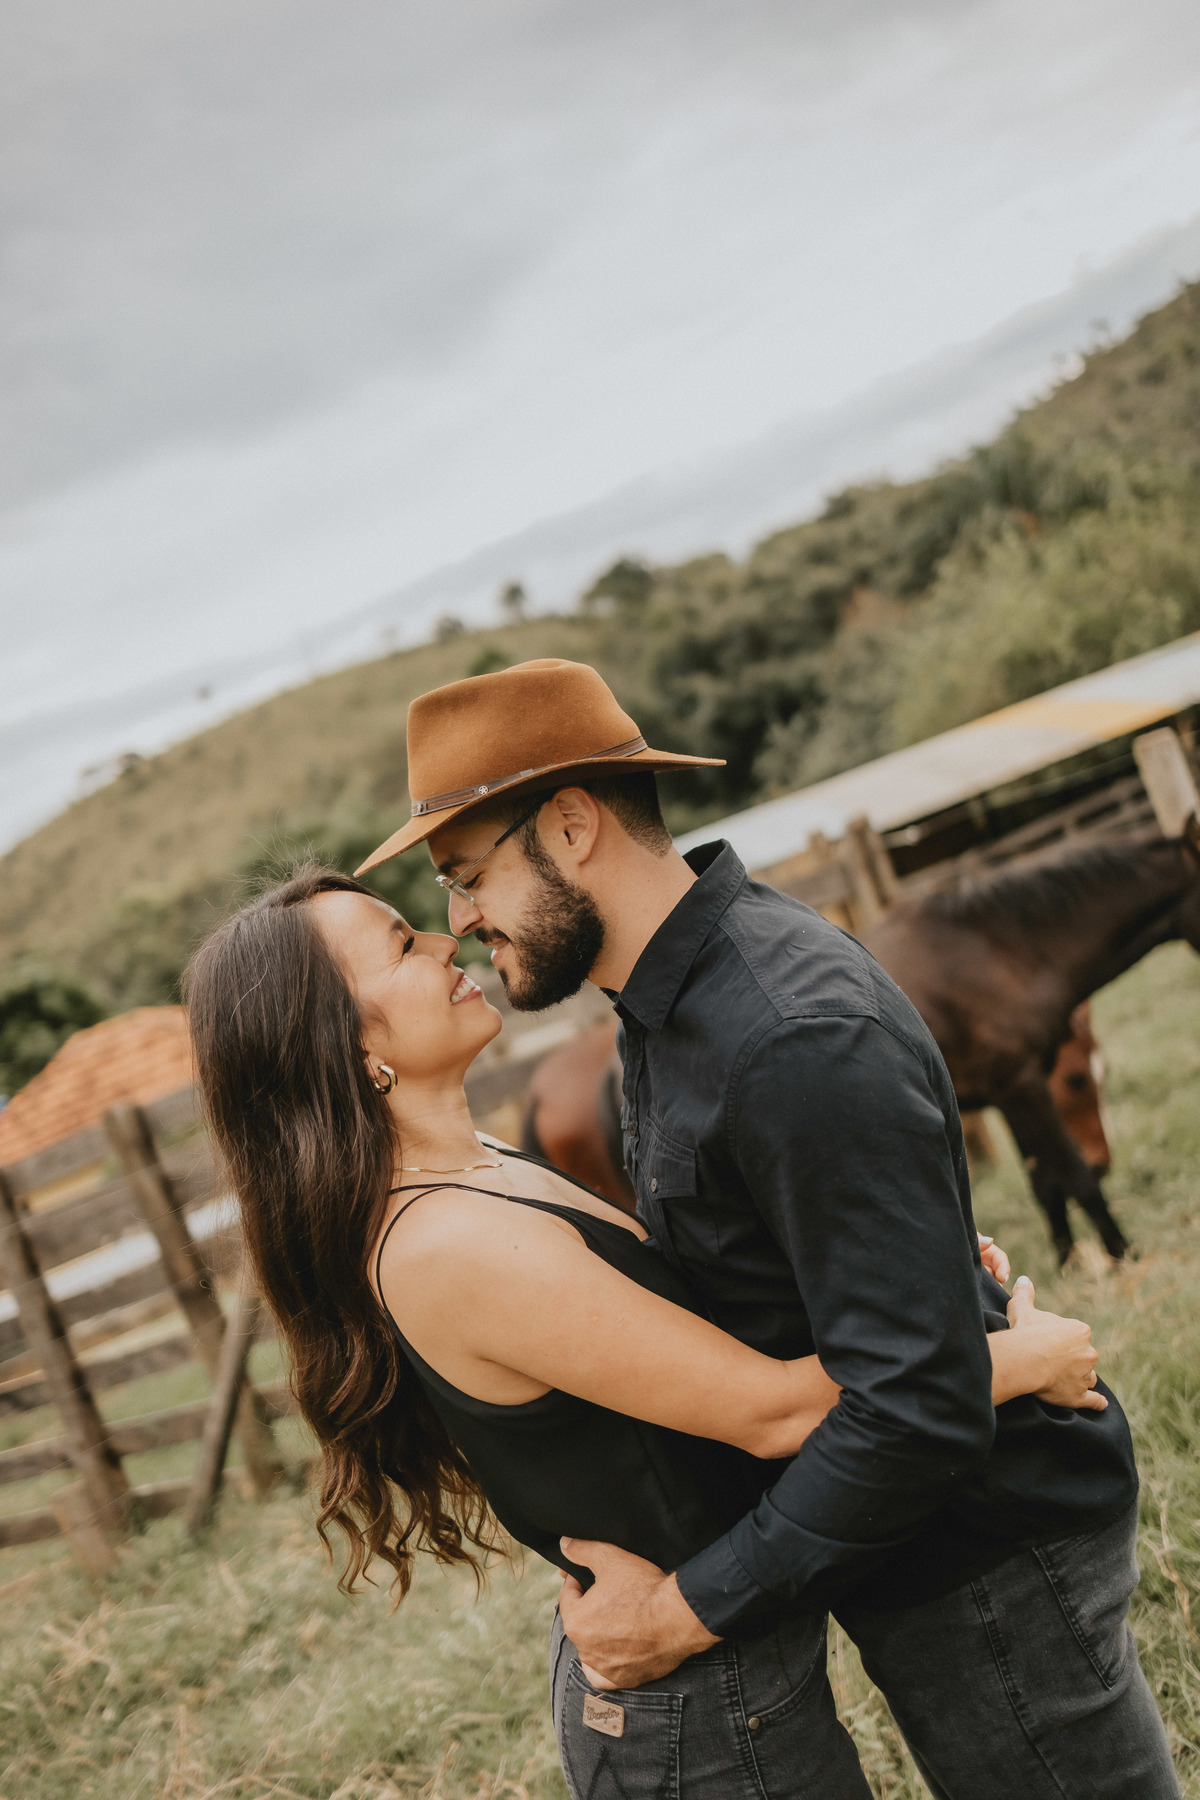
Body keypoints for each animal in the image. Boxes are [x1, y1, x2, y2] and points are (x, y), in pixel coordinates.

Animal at [523, 836, 1200, 1260]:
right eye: (1079, 1081)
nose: (1108, 1158)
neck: (993, 950)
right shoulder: (1023, 1085)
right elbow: (1071, 1179)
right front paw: (1123, 1257)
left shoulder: (1007, 1090)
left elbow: (1046, 1185)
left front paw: (1068, 1264)